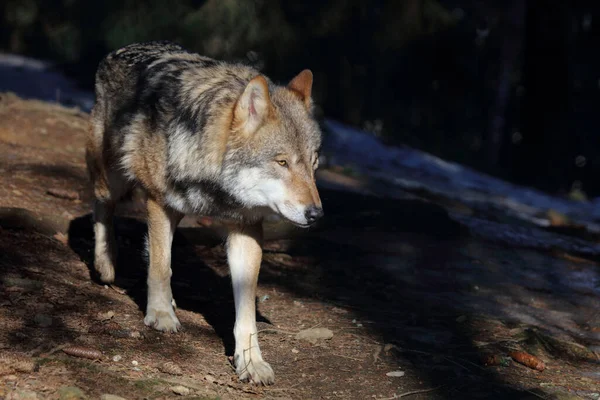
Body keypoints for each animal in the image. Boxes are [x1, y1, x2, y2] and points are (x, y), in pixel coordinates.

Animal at [84, 41, 324, 384]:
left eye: (314, 163)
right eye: (282, 162)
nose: (316, 214)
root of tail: (122, 49)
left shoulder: (246, 229)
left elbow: (245, 307)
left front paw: (251, 360)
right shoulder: (159, 202)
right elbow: (161, 267)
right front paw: (160, 315)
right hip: (114, 181)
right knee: (102, 208)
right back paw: (105, 263)